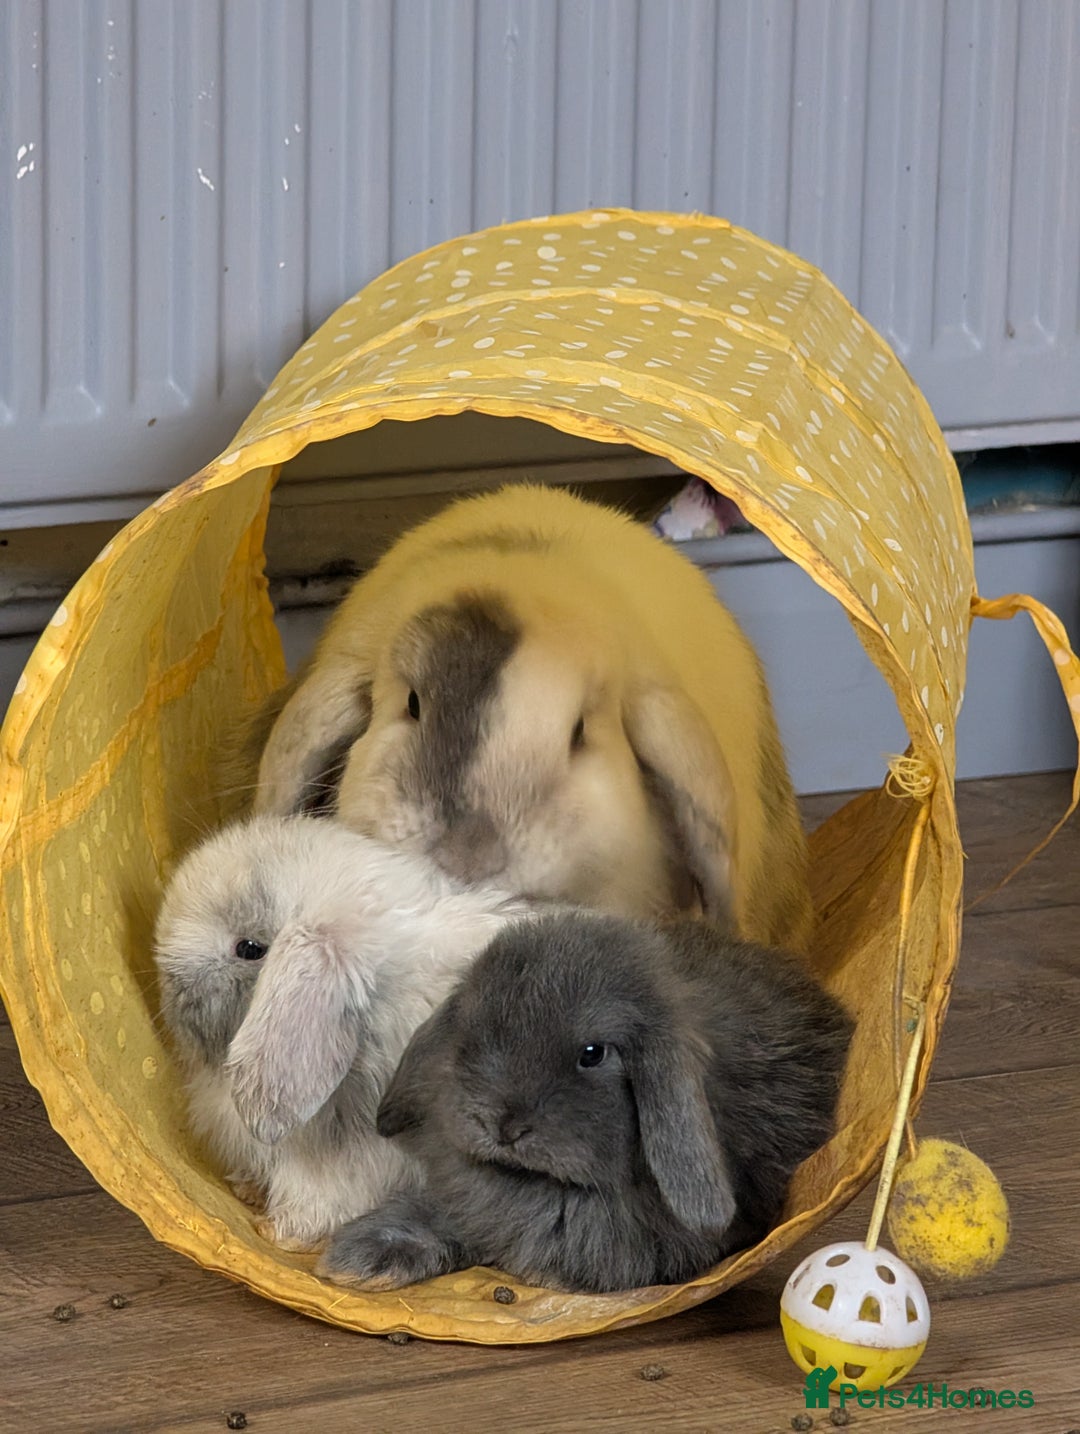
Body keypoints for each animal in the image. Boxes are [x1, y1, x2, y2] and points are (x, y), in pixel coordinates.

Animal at [152, 812, 534, 1250]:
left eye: (249, 949)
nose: (169, 995)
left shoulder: (352, 1164)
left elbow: (321, 1203)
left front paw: (277, 1232)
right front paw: (246, 1188)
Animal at [318, 909, 854, 1295]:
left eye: (593, 1054)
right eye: (470, 1036)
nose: (503, 1125)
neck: (540, 1185)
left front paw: (543, 1273)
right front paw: (362, 1259)